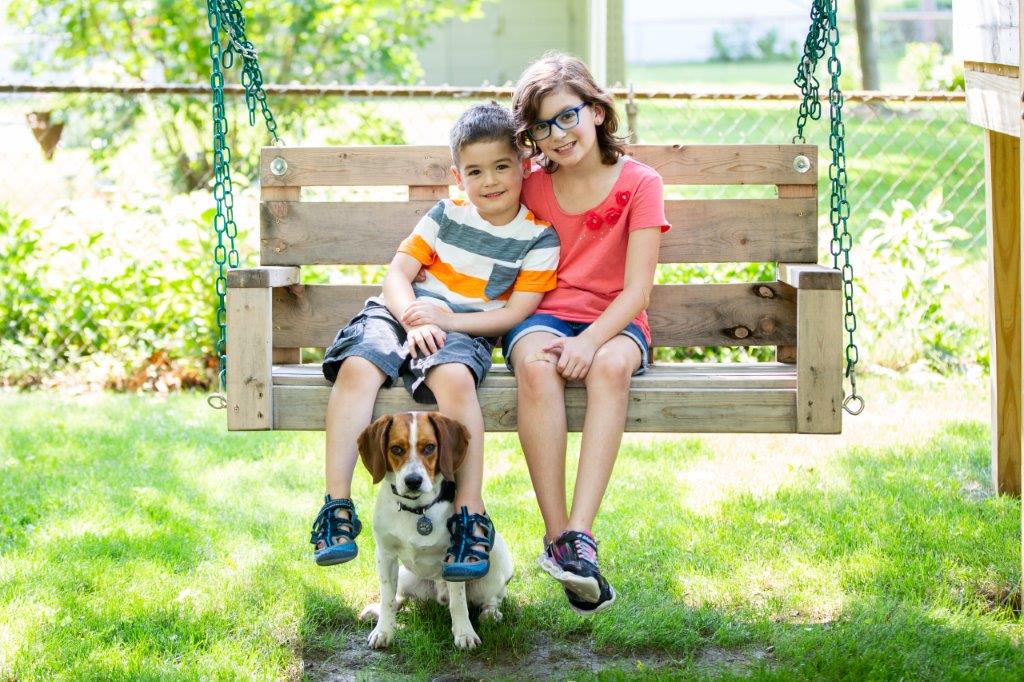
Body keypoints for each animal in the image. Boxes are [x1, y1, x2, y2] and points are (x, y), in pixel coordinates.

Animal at [356, 409, 512, 647]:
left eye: (429, 447)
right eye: (396, 449)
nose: (413, 481)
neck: (417, 509)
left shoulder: (455, 560)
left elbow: (458, 602)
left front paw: (464, 633)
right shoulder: (385, 555)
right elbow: (387, 599)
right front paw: (383, 630)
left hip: (495, 568)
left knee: (492, 599)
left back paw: (490, 614)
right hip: (406, 576)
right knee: (399, 597)